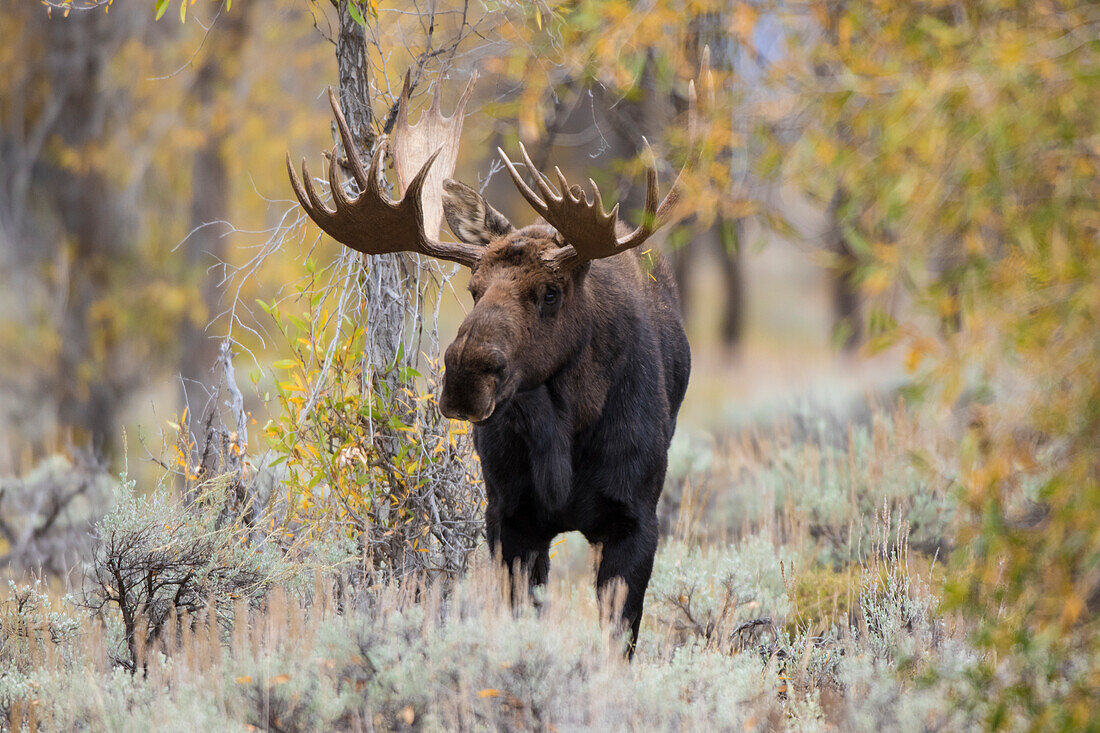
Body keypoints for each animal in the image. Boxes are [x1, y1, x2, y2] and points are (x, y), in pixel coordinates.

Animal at [286, 72, 695, 651]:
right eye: (473, 288)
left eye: (551, 291)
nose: (464, 378)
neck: (566, 432)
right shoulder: (508, 518)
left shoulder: (636, 518)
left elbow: (620, 638)